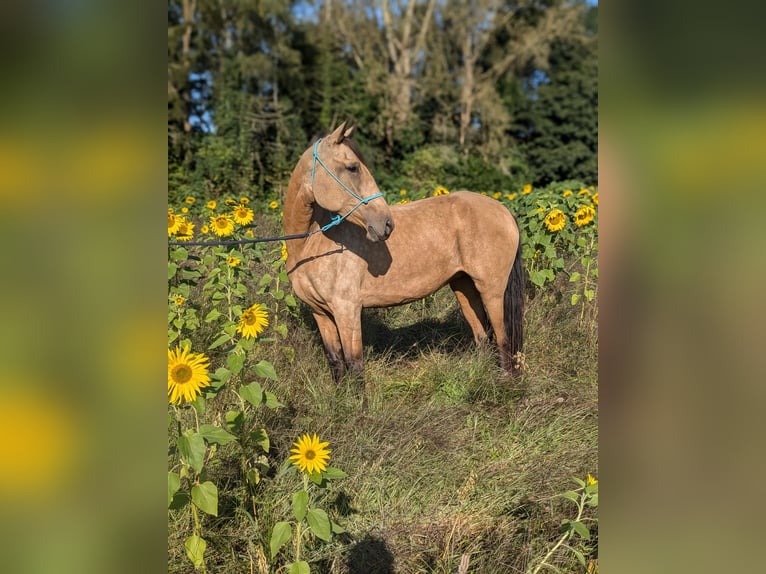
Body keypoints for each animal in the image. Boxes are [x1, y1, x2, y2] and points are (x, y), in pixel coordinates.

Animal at [284, 122, 524, 384]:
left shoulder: (347, 311)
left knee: (503, 339)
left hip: (491, 290)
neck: (311, 245)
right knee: (482, 337)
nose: (386, 224)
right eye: (353, 167)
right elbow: (336, 362)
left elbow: (355, 366)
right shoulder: (321, 313)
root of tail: (503, 210)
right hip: (464, 286)